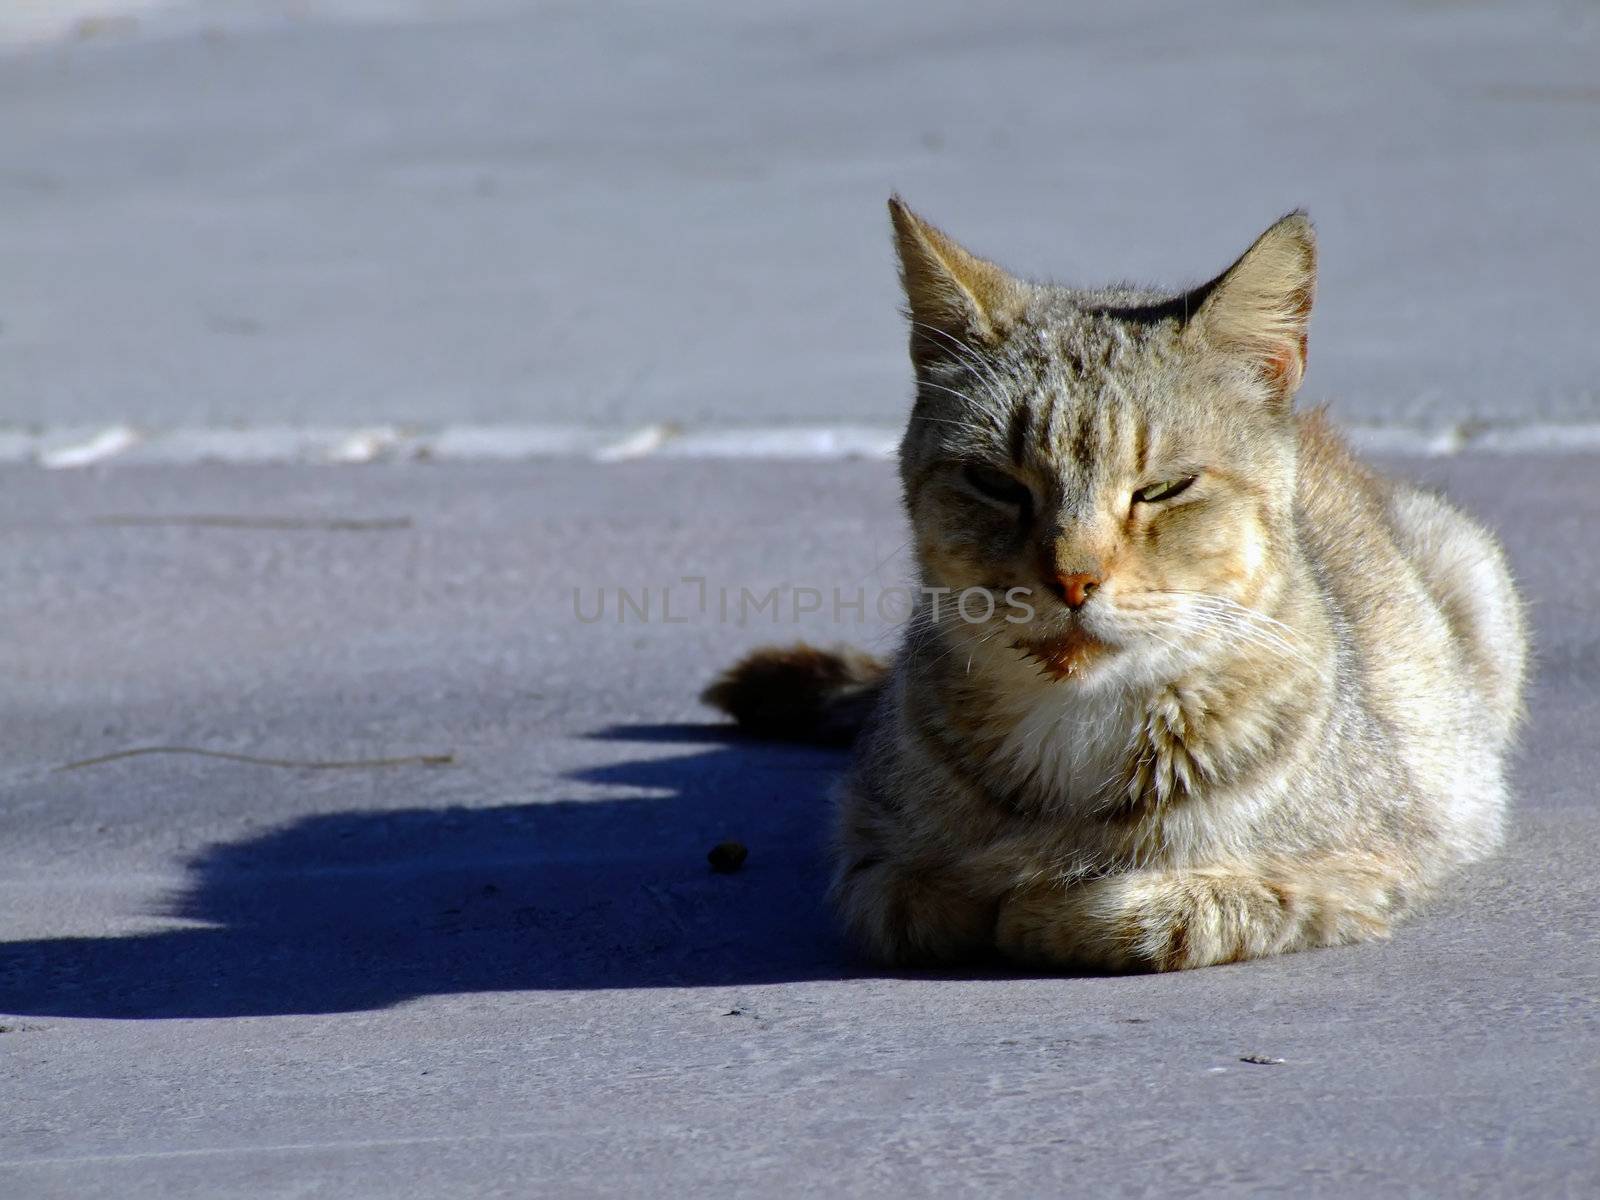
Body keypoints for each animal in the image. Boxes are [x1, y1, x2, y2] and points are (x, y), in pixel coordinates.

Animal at [700, 195, 1523, 966]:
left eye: (1163, 489)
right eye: (995, 484)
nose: (1073, 579)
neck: (1075, 729)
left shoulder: (1356, 868)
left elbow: (1132, 907)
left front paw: (1045, 901)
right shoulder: (869, 856)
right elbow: (928, 895)